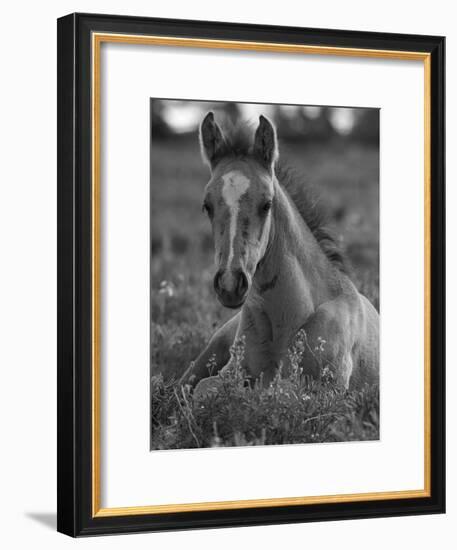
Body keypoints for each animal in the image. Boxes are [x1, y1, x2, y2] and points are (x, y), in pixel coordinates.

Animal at [180, 113, 380, 396]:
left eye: (267, 204)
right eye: (206, 206)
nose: (230, 284)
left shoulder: (328, 388)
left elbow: (273, 392)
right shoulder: (229, 373)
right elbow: (204, 390)